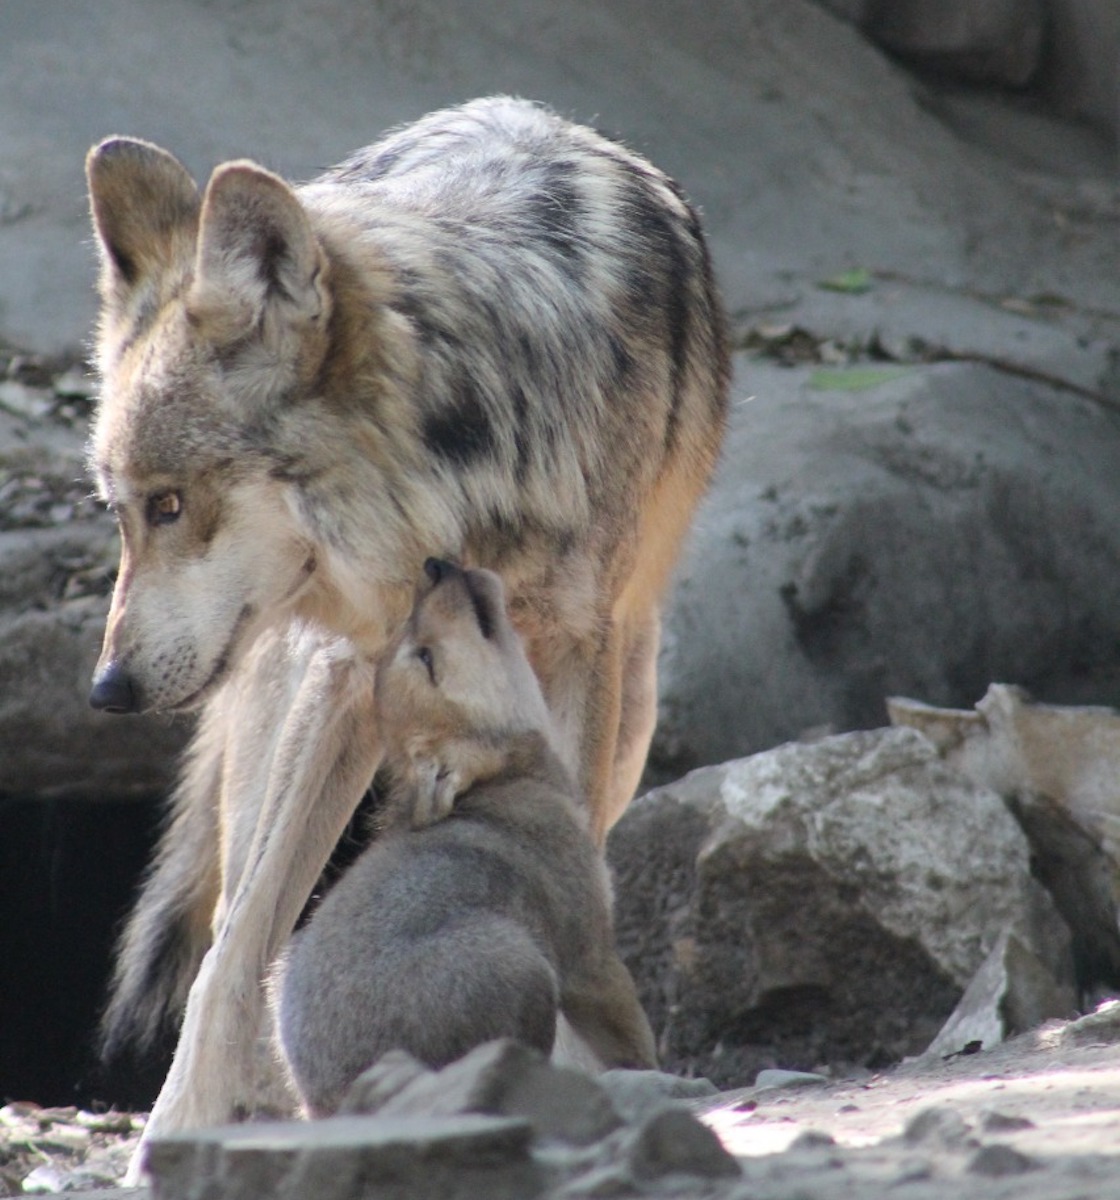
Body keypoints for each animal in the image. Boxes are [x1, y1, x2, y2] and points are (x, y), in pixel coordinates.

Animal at [274, 559, 657, 1116]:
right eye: (426, 659)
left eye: (415, 644)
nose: (435, 565)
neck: (511, 780)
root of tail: (341, 1100)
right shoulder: (589, 958)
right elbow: (634, 1039)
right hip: (519, 960)